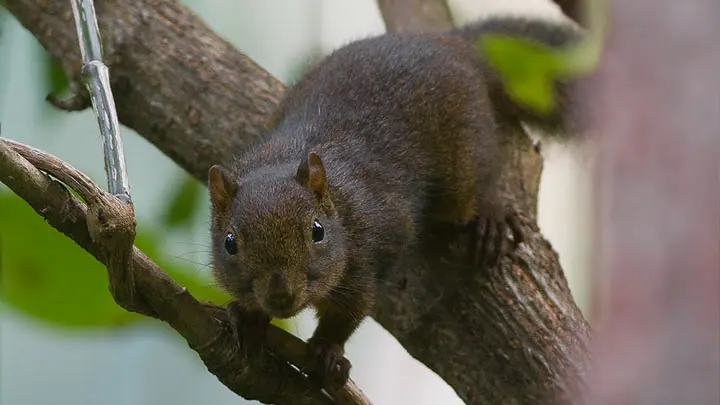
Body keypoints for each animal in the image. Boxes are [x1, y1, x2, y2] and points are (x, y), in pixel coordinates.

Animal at [208, 16, 583, 392]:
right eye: (229, 243)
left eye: (317, 231)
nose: (280, 297)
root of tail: (452, 44)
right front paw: (247, 316)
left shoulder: (368, 253)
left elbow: (350, 311)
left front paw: (326, 349)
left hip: (462, 163)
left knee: (479, 181)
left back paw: (491, 215)